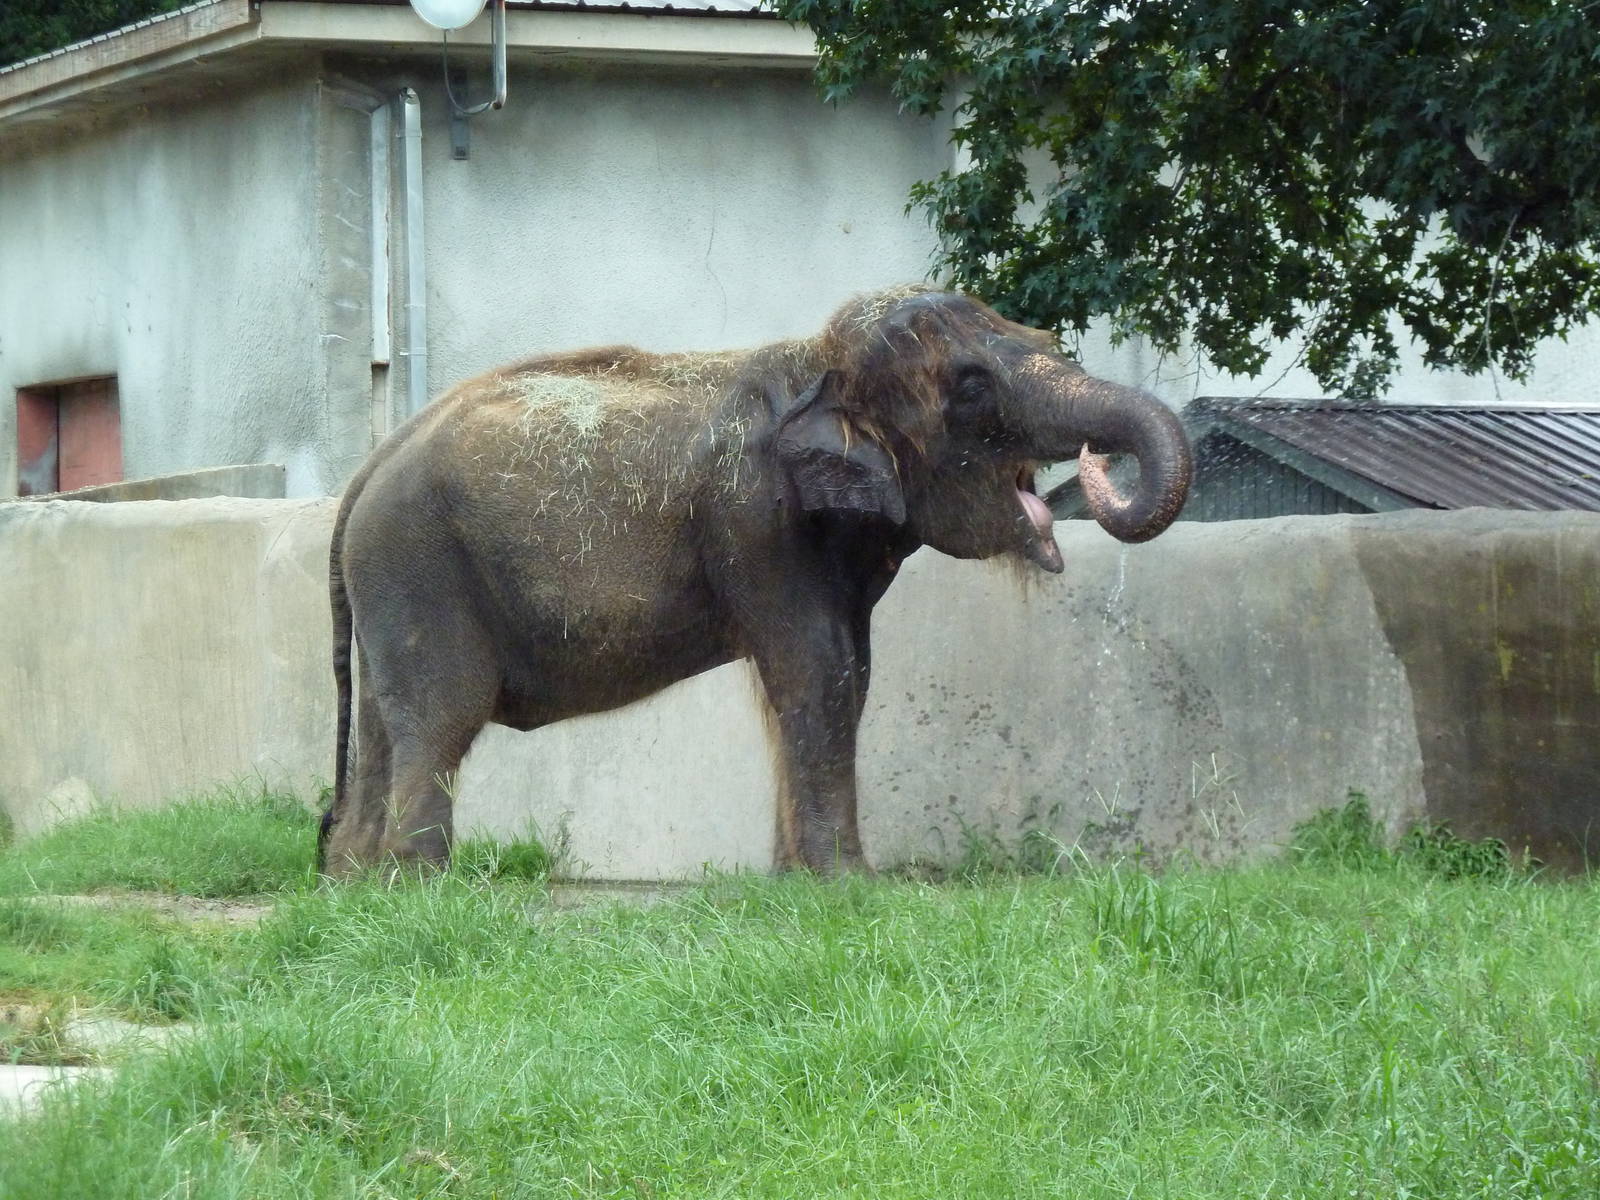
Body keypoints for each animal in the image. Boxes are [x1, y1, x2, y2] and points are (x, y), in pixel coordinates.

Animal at [318, 285, 1192, 876]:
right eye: (973, 388)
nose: (1094, 464)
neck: (819, 363)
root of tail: (365, 473)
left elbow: (851, 674)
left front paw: (795, 883)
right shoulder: (755, 519)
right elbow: (816, 671)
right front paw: (850, 887)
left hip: (387, 585)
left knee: (387, 728)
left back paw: (358, 885)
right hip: (420, 565)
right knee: (441, 718)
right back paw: (426, 889)